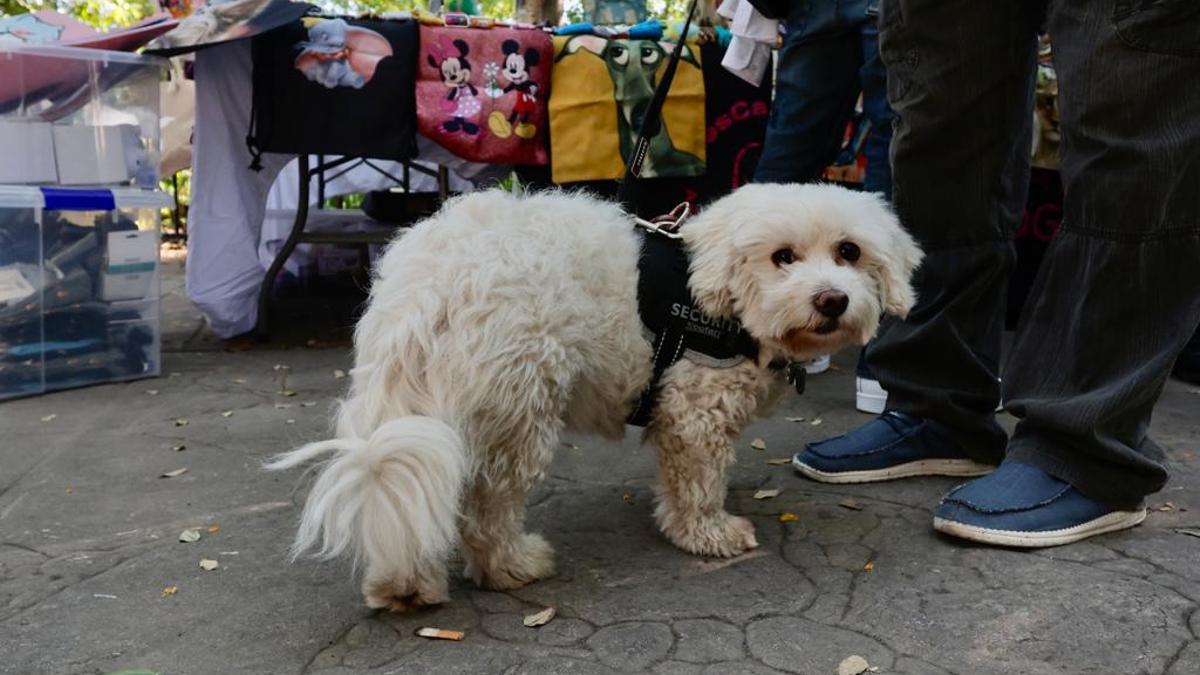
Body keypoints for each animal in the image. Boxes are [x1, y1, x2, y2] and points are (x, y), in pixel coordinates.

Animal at [272, 183, 921, 610]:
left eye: (849, 251)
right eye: (782, 256)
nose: (832, 299)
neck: (720, 293)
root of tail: (427, 285)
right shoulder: (695, 413)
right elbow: (697, 483)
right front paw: (707, 533)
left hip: (418, 408)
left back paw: (403, 583)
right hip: (516, 411)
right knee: (486, 507)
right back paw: (510, 565)